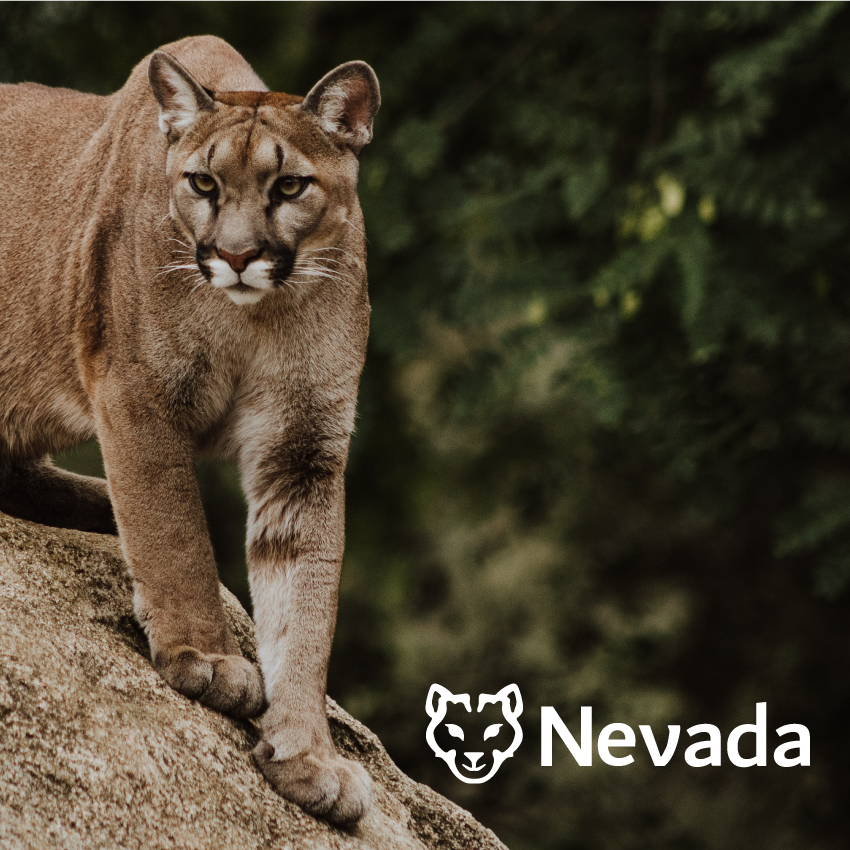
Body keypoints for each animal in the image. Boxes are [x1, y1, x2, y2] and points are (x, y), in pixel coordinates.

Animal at [0, 36, 379, 825]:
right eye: (202, 183)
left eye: (290, 186)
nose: (235, 257)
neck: (254, 316)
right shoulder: (138, 394)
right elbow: (174, 532)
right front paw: (206, 658)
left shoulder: (303, 448)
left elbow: (305, 604)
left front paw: (308, 756)